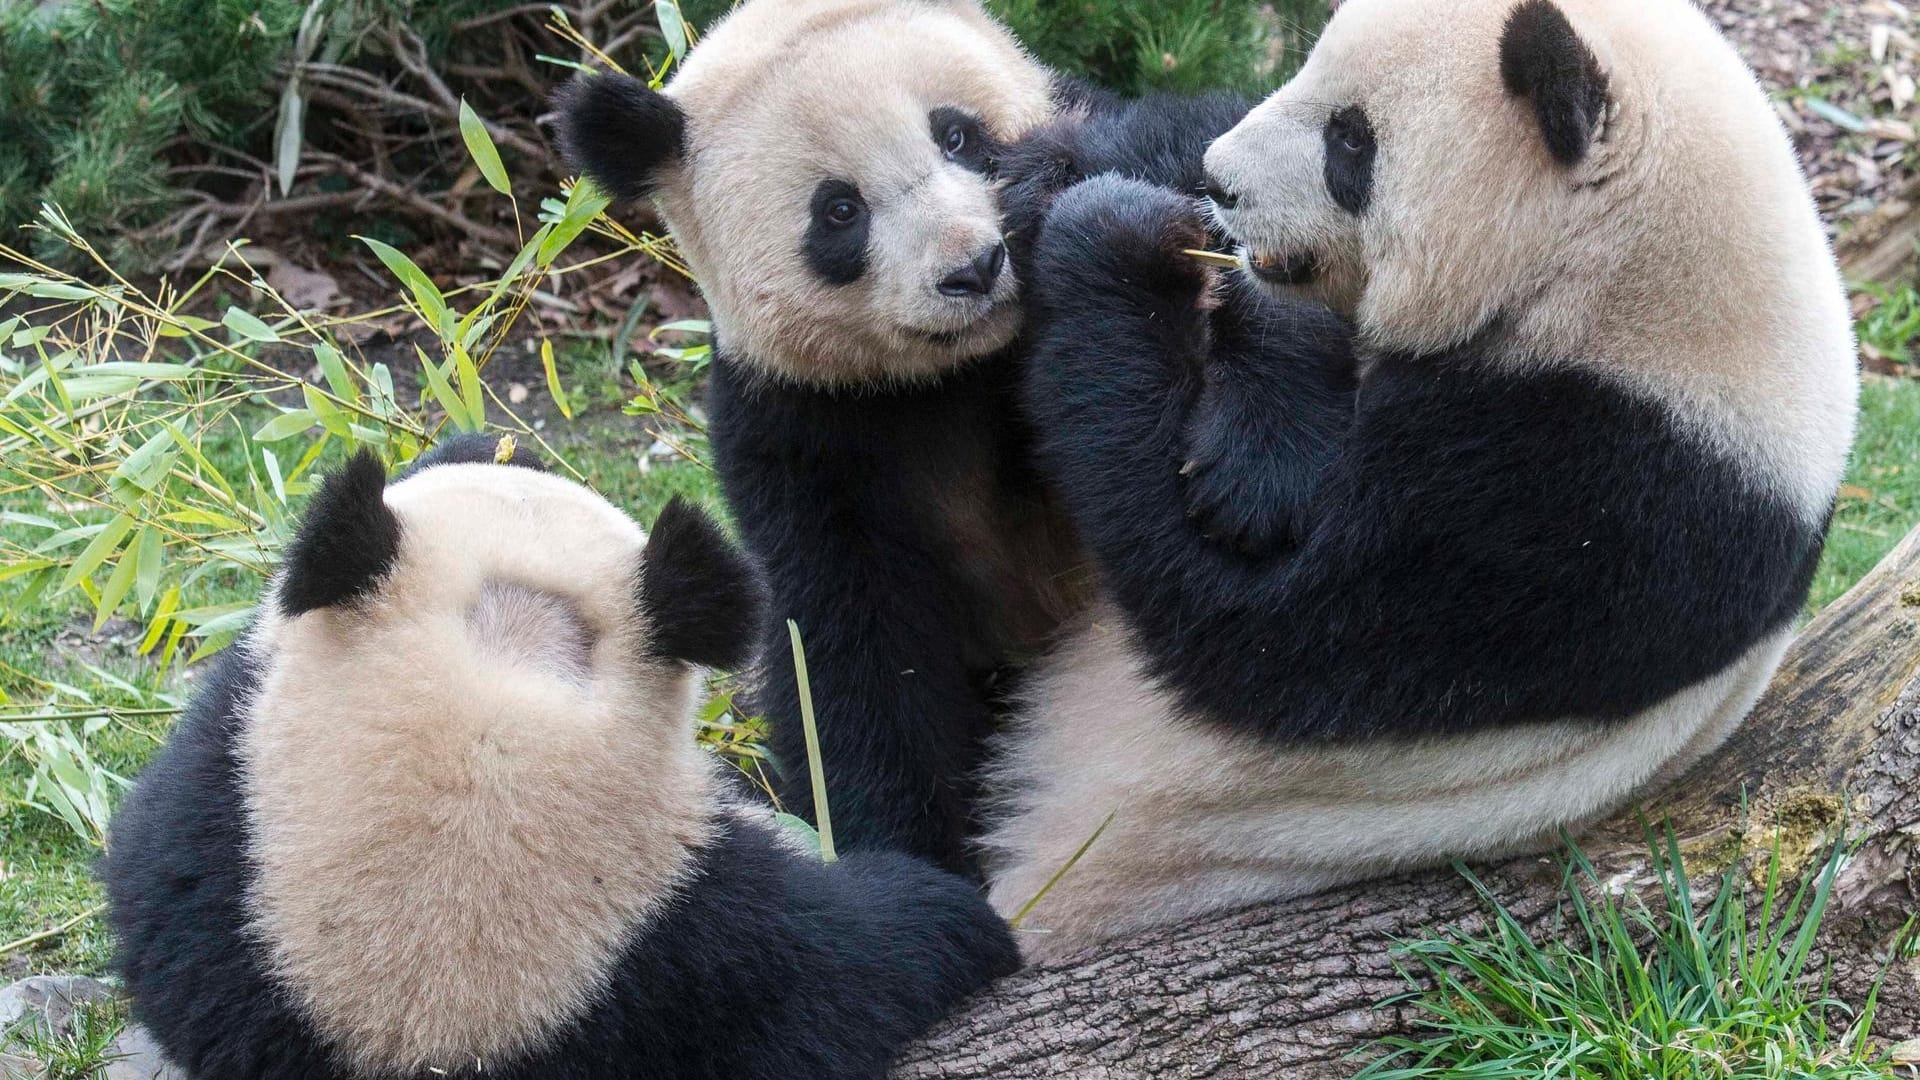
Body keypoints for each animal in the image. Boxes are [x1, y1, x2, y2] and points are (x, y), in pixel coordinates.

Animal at [549, 0, 1267, 876]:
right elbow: (855, 646)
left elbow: (1203, 150)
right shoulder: (802, 428)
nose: (976, 266)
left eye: (956, 135)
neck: (971, 365)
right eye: (839, 211)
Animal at [983, 0, 1850, 953]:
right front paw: (1073, 167)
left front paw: (1113, 242)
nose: (1222, 184)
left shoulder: (1602, 498)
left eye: (1350, 140)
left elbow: (1249, 621)